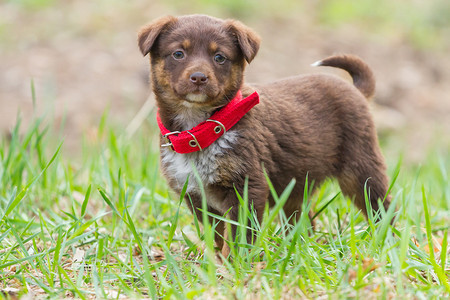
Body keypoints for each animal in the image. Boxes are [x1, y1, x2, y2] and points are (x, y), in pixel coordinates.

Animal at [137, 14, 390, 253]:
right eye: (178, 54)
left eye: (219, 57)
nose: (199, 77)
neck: (203, 129)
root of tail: (356, 91)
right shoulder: (196, 195)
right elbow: (217, 235)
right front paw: (218, 259)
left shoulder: (247, 186)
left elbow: (238, 235)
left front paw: (235, 262)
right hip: (296, 185)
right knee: (302, 220)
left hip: (361, 168)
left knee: (381, 208)